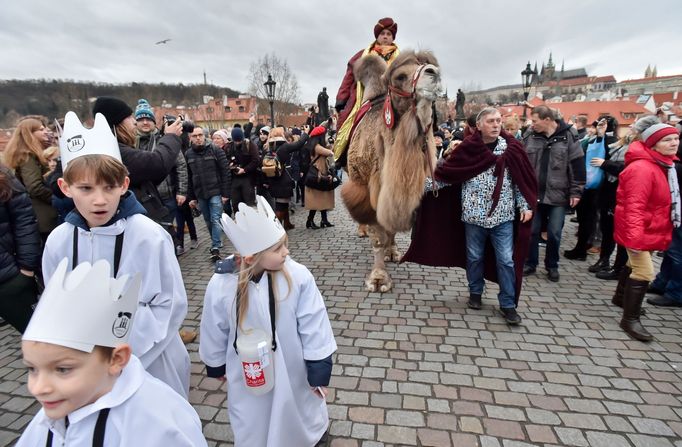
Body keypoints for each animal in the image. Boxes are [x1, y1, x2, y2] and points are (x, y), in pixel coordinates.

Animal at [340, 50, 440, 294]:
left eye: (430, 65)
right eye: (401, 76)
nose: (433, 73)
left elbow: (391, 227)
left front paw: (392, 252)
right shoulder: (367, 185)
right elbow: (377, 236)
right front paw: (378, 279)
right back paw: (362, 230)